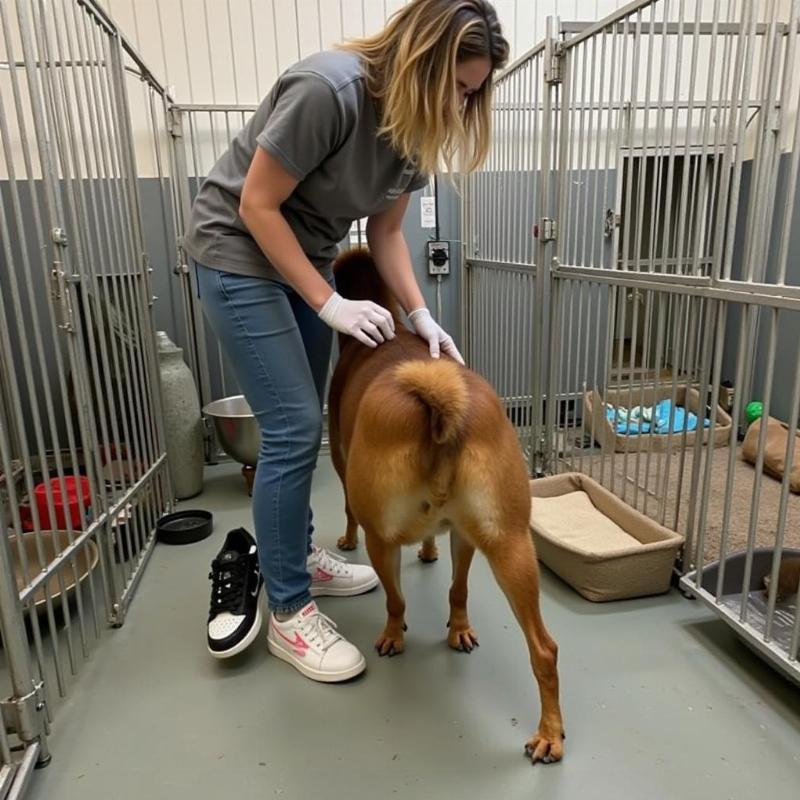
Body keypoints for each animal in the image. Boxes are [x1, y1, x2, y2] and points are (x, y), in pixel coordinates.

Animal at [324, 248, 564, 764]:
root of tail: (437, 404)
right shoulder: (462, 534)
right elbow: (456, 586)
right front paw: (433, 560)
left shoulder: (345, 470)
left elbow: (355, 522)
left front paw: (349, 542)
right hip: (510, 545)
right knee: (544, 648)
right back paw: (549, 732)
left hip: (384, 536)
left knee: (395, 598)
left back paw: (393, 635)